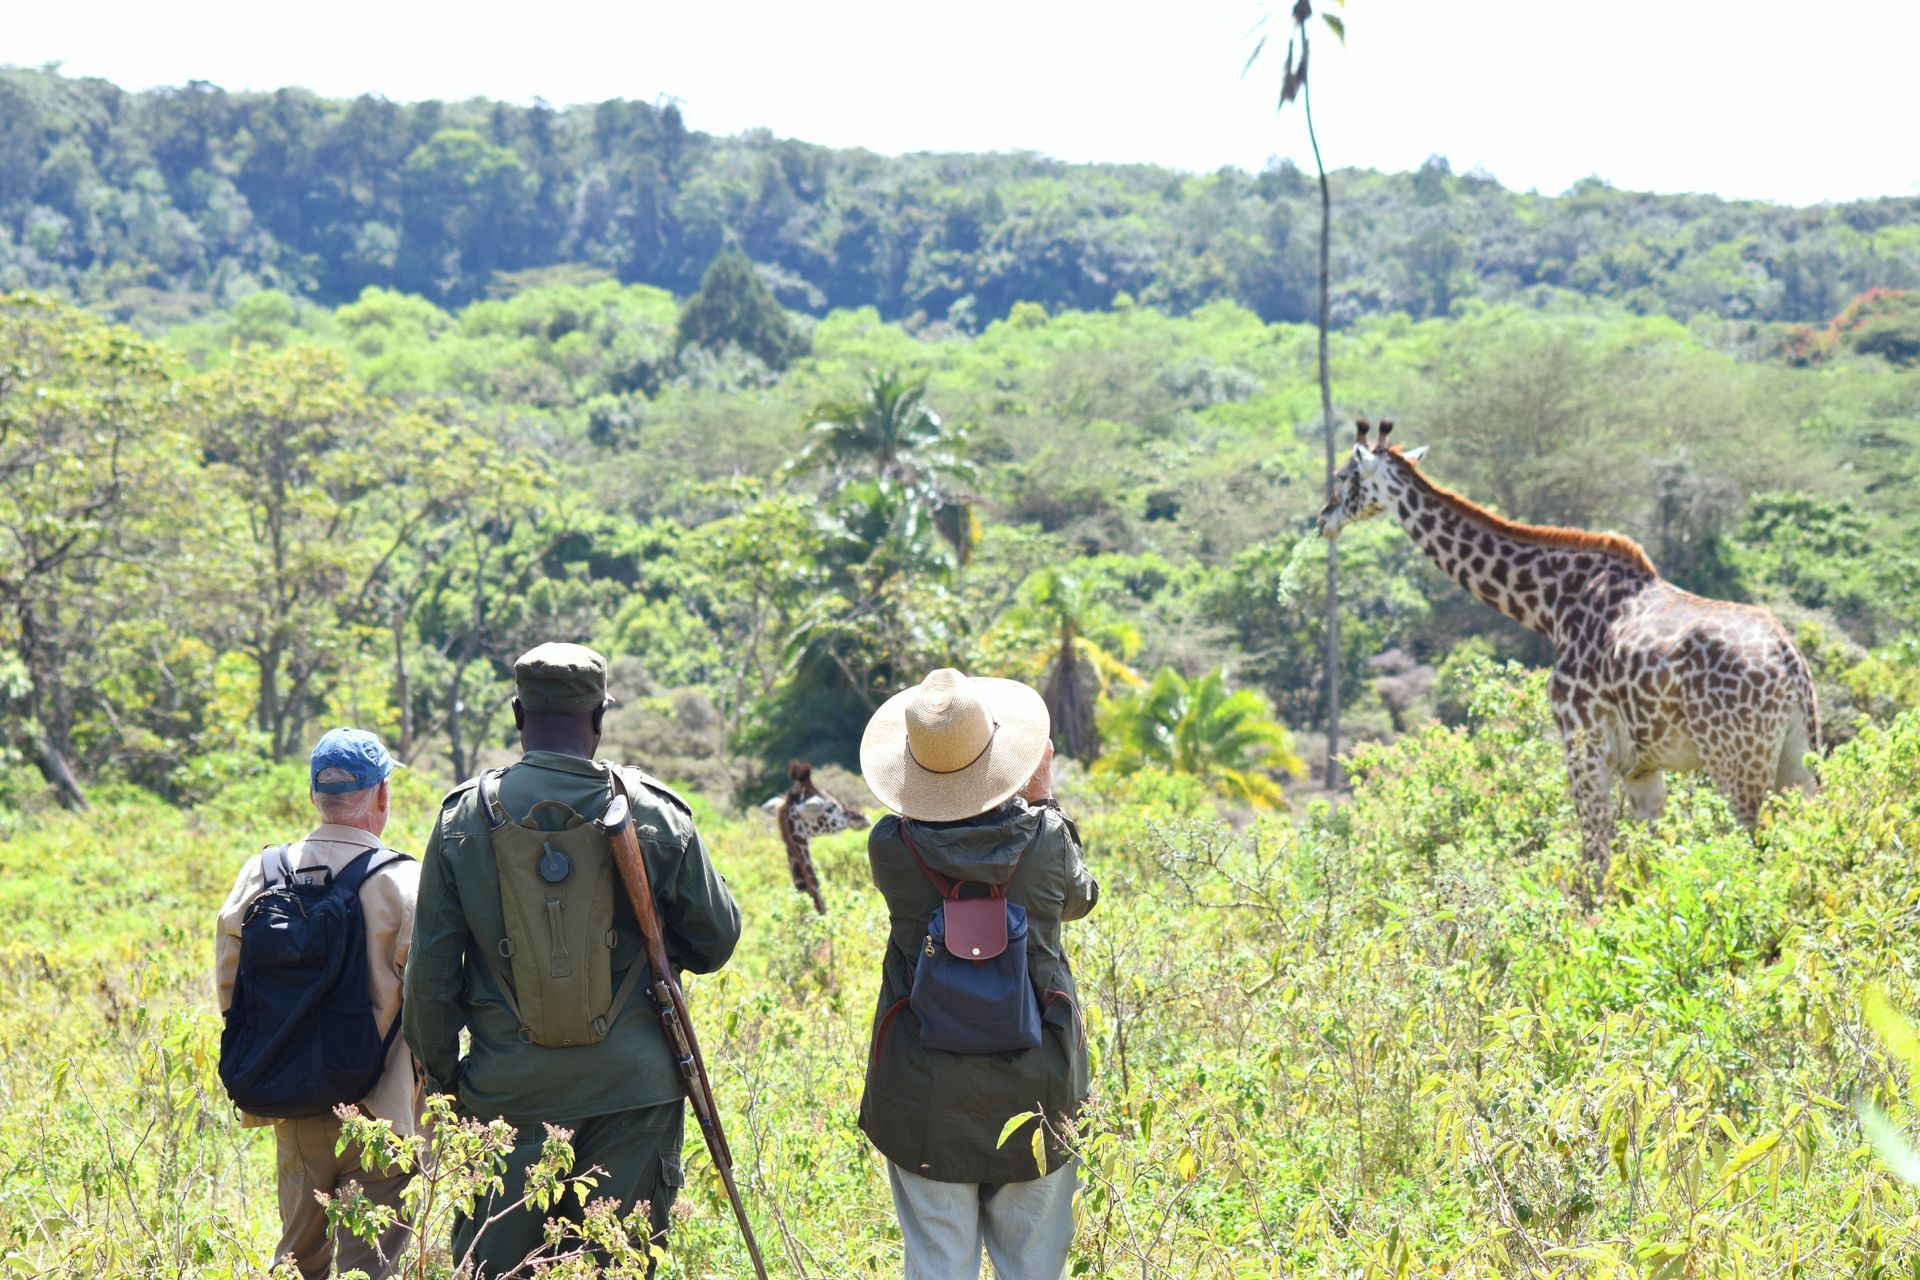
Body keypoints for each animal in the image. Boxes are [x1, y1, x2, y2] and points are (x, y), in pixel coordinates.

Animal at [1317, 420, 1820, 889]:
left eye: (1343, 475)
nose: (1322, 519)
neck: (1553, 605)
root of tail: (1789, 659)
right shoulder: (1642, 767)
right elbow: (1650, 861)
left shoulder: (1584, 744)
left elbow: (1595, 855)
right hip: (1797, 754)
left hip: (1736, 760)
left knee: (1759, 847)